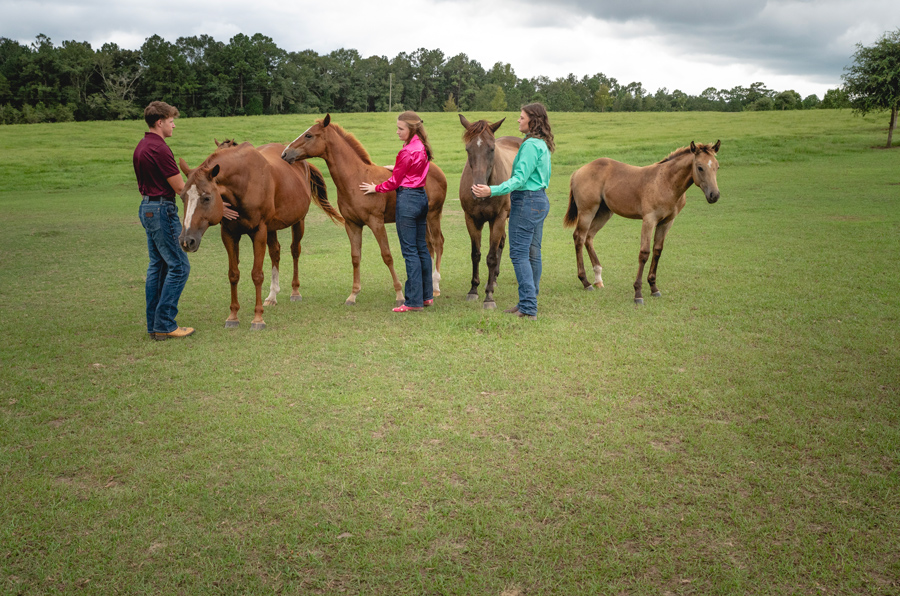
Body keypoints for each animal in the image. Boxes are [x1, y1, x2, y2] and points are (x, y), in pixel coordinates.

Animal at [178, 142, 344, 329]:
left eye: (206, 198)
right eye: (182, 197)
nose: (187, 241)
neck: (244, 182)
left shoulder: (259, 232)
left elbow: (257, 275)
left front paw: (258, 318)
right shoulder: (229, 234)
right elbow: (233, 274)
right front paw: (233, 316)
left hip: (298, 221)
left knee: (295, 251)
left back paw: (295, 291)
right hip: (272, 228)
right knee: (275, 253)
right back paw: (272, 296)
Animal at [280, 114, 447, 306]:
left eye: (309, 135)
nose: (285, 154)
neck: (356, 179)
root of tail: (437, 171)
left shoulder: (376, 222)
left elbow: (387, 255)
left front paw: (399, 294)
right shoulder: (352, 225)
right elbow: (355, 257)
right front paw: (353, 295)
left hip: (433, 215)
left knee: (438, 243)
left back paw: (436, 287)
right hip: (423, 219)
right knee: (429, 246)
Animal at [458, 114, 523, 309]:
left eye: (492, 149)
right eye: (468, 149)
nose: (478, 189)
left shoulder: (498, 218)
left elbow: (491, 257)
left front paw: (489, 297)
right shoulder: (471, 219)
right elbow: (476, 254)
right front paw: (473, 290)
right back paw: (492, 280)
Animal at [563, 141, 721, 304]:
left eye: (717, 167)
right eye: (700, 167)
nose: (714, 195)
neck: (666, 182)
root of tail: (578, 171)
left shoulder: (666, 222)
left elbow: (657, 251)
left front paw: (654, 288)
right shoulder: (649, 220)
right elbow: (644, 253)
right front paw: (638, 293)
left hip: (604, 213)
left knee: (589, 237)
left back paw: (598, 279)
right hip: (587, 212)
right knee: (579, 237)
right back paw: (585, 282)